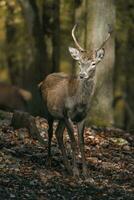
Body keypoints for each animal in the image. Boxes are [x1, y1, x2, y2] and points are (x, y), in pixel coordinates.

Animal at [39, 24, 112, 177]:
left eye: (93, 63)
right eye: (79, 62)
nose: (82, 75)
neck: (79, 103)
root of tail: (41, 82)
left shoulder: (82, 117)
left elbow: (81, 142)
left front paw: (85, 172)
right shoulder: (67, 114)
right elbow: (72, 141)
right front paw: (76, 172)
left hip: (60, 116)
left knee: (58, 134)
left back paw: (65, 166)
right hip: (49, 110)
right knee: (50, 132)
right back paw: (49, 161)